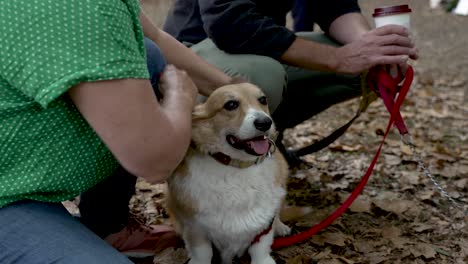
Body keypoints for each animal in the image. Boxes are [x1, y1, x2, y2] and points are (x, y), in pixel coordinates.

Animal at [166, 82, 290, 264]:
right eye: (230, 105)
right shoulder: (195, 227)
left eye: (262, 99)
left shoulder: (263, 226)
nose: (265, 122)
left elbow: (260, 246)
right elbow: (202, 252)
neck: (238, 166)